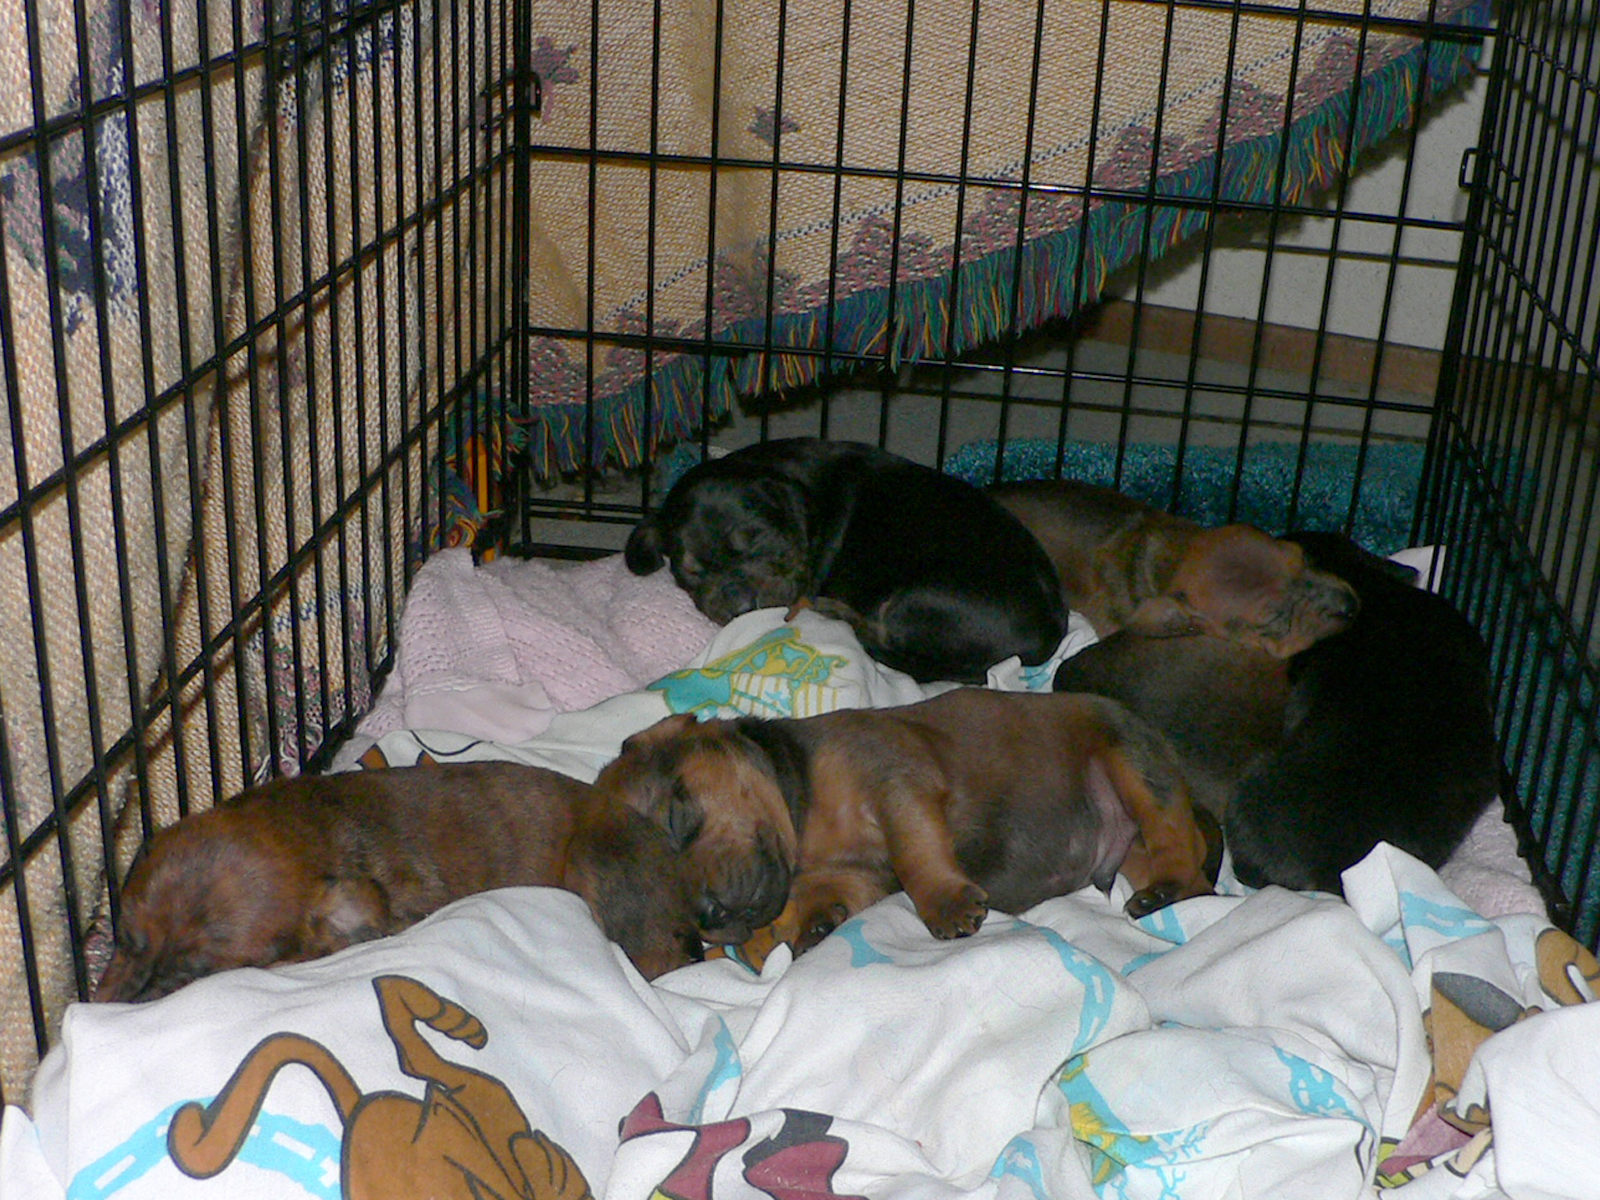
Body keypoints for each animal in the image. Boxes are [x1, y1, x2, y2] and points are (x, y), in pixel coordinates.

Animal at [592, 691, 1209, 966]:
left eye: (677, 819)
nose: (708, 916)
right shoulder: (856, 874)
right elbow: (831, 897)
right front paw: (812, 928)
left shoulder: (896, 786)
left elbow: (917, 855)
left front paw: (946, 906)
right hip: (1133, 838)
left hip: (1131, 764)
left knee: (1184, 851)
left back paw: (1169, 890)